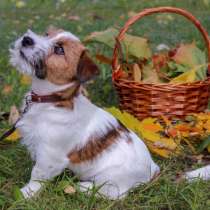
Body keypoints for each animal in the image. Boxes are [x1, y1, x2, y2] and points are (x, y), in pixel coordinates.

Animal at [9, 27, 210, 200]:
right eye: (46, 34)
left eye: (59, 49)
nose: (27, 39)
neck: (52, 100)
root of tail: (153, 171)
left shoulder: (50, 155)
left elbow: (38, 174)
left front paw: (26, 193)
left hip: (110, 178)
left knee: (113, 193)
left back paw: (83, 187)